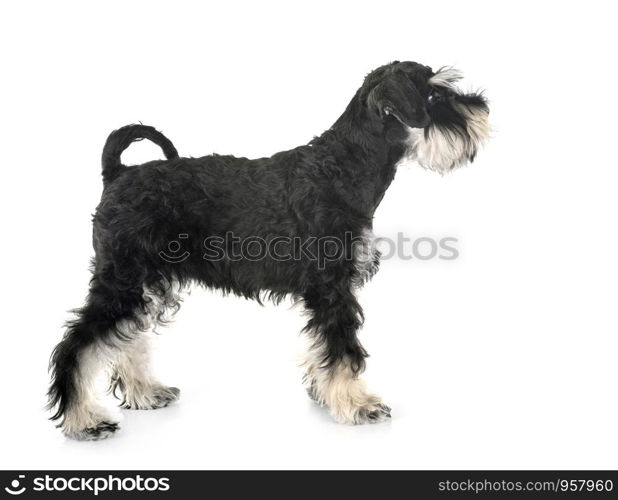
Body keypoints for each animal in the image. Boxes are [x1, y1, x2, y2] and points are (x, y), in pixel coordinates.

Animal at [48, 61, 488, 438]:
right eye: (433, 95)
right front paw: (358, 404)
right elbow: (343, 349)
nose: (482, 108)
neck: (344, 167)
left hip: (144, 282)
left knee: (125, 337)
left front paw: (324, 392)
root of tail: (117, 174)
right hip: (122, 279)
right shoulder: (332, 288)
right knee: (77, 345)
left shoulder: (324, 291)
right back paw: (84, 419)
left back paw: (145, 392)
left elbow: (322, 346)